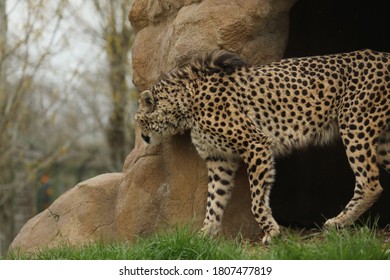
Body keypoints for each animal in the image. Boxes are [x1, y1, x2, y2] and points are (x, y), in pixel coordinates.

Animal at [135, 49, 390, 244]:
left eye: (138, 120)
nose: (142, 137)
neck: (187, 103)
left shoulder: (256, 145)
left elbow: (256, 200)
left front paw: (272, 231)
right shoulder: (220, 160)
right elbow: (214, 199)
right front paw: (204, 234)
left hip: (355, 125)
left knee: (370, 183)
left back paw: (338, 222)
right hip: (382, 141)